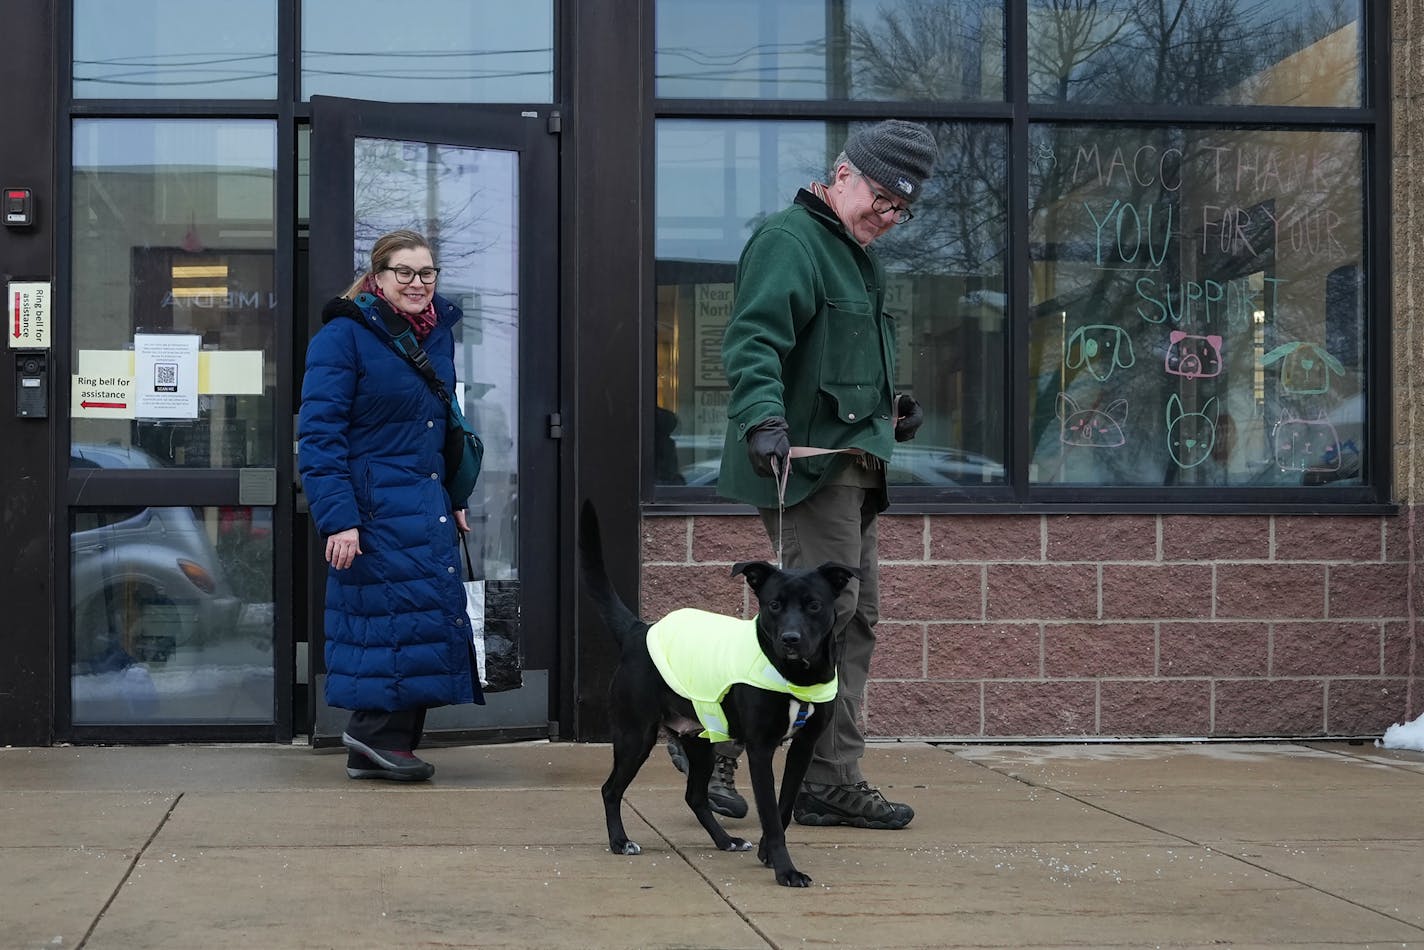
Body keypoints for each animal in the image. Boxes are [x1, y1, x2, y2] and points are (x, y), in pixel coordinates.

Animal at [575, 501, 854, 888]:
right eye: (774, 605)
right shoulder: (760, 749)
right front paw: (785, 870)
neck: (795, 674)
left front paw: (768, 854)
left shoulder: (804, 746)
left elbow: (782, 809)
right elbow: (770, 813)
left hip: (700, 740)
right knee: (610, 789)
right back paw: (620, 841)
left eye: (814, 605)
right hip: (636, 736)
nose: (791, 639)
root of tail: (637, 631)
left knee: (694, 796)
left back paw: (725, 840)